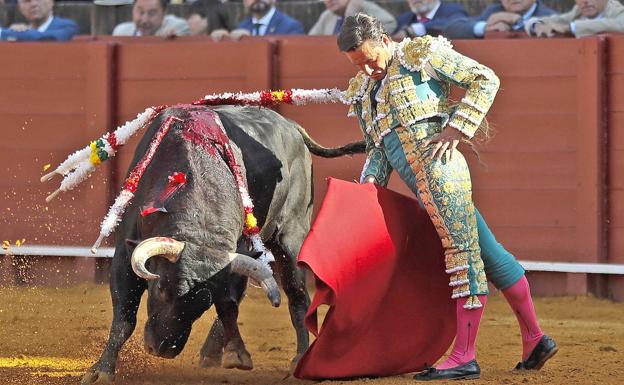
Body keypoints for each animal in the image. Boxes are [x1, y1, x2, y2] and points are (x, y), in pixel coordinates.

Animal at [80, 103, 364, 382]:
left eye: (202, 305)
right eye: (159, 287)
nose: (162, 349)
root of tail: (292, 127)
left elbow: (227, 305)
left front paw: (236, 353)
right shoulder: (124, 254)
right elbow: (124, 318)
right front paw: (101, 371)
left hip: (291, 236)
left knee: (297, 293)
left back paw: (299, 359)